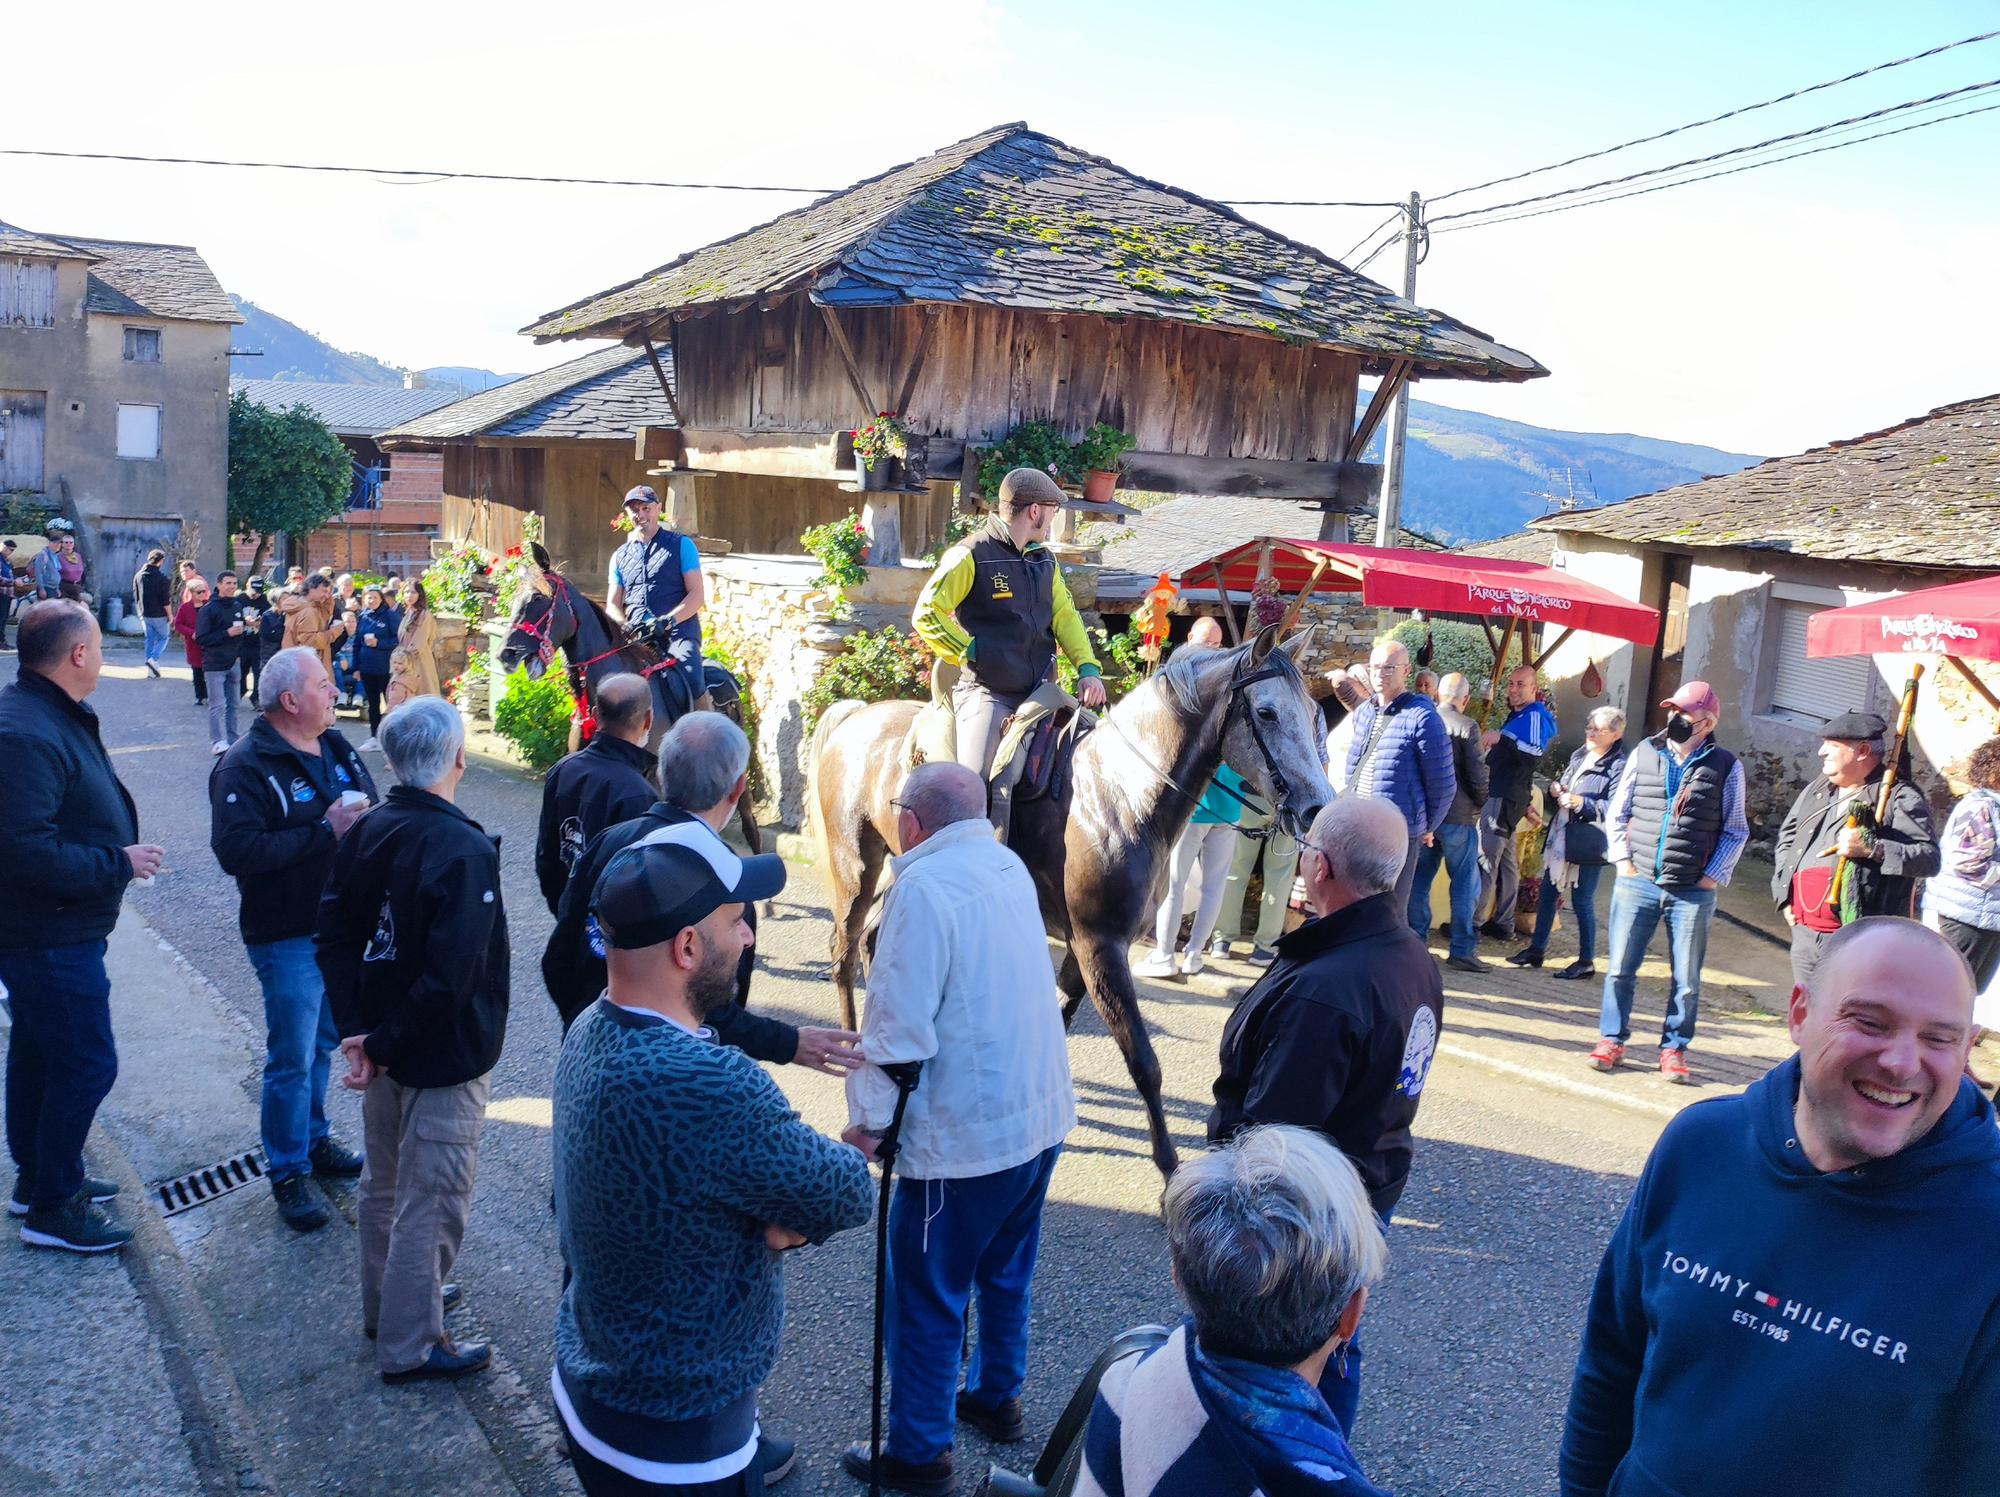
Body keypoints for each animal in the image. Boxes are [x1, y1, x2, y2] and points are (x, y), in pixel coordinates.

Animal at [804, 624, 1336, 1176]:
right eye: (1267, 712)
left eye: (1312, 712)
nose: (1317, 808)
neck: (1121, 796)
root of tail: (857, 717)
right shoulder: (1100, 947)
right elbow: (1144, 1062)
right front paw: (1169, 1164)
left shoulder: (1083, 953)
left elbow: (1058, 1028)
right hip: (857, 868)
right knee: (844, 954)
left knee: (872, 946)